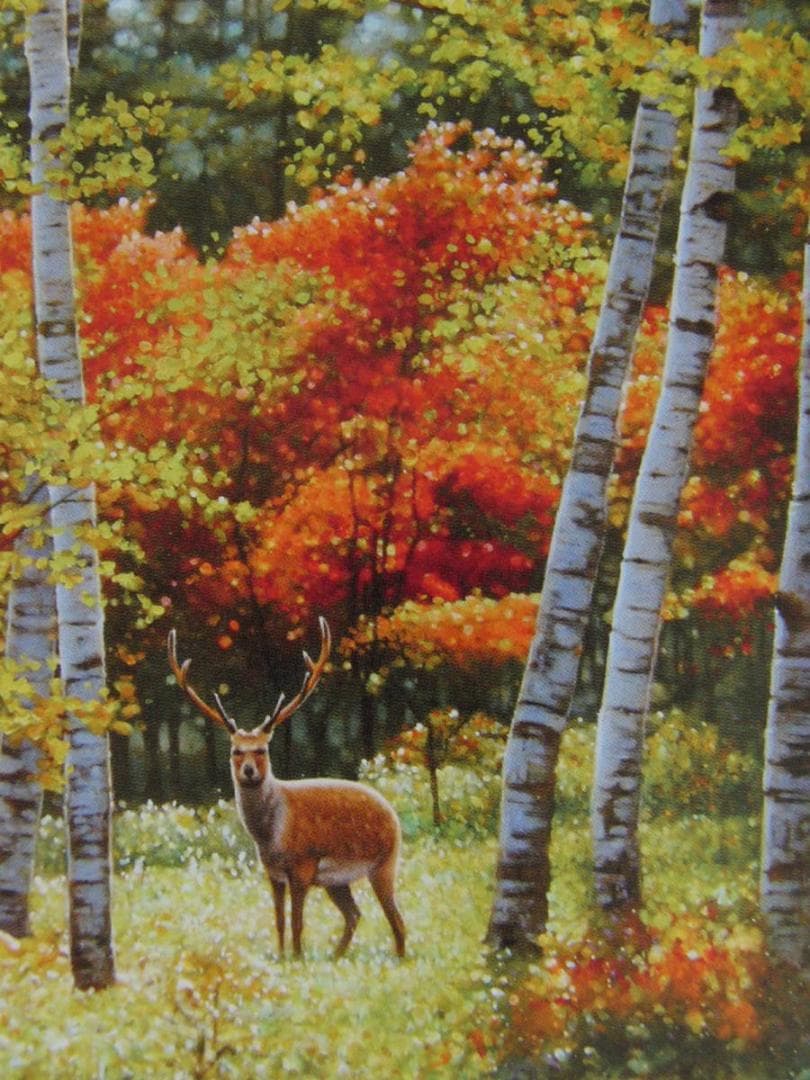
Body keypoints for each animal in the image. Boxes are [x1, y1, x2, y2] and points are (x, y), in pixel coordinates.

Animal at [167, 619, 406, 960]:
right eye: (235, 750)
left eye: (262, 749)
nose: (249, 771)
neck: (270, 836)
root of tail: (392, 812)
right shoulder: (272, 873)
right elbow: (279, 920)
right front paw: (282, 957)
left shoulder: (302, 866)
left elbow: (297, 922)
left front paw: (297, 958)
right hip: (337, 880)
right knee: (355, 914)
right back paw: (336, 956)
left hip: (384, 862)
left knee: (397, 920)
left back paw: (398, 956)